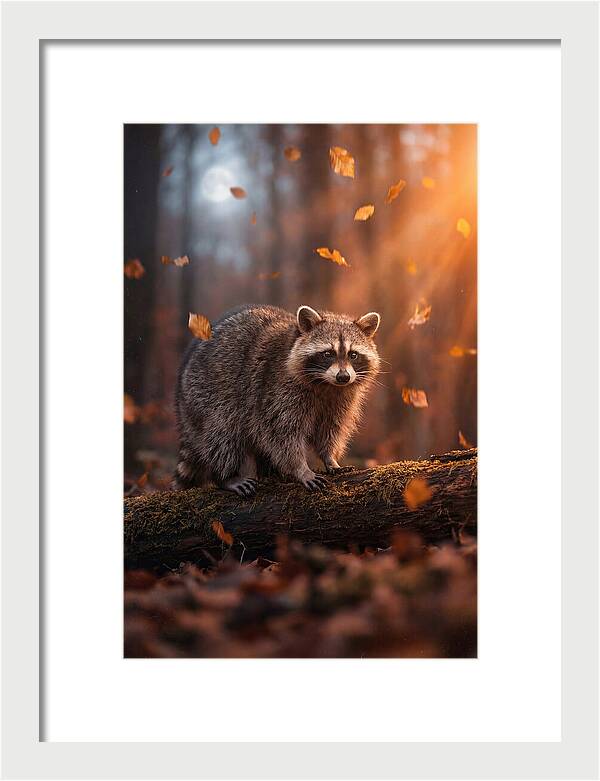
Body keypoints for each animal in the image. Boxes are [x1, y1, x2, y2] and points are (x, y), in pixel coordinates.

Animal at [174, 304, 381, 495]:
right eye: (328, 354)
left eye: (353, 355)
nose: (343, 377)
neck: (327, 385)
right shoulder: (276, 390)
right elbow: (282, 434)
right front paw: (301, 469)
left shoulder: (340, 399)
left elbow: (330, 429)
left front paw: (330, 458)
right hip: (207, 395)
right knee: (222, 434)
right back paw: (226, 476)